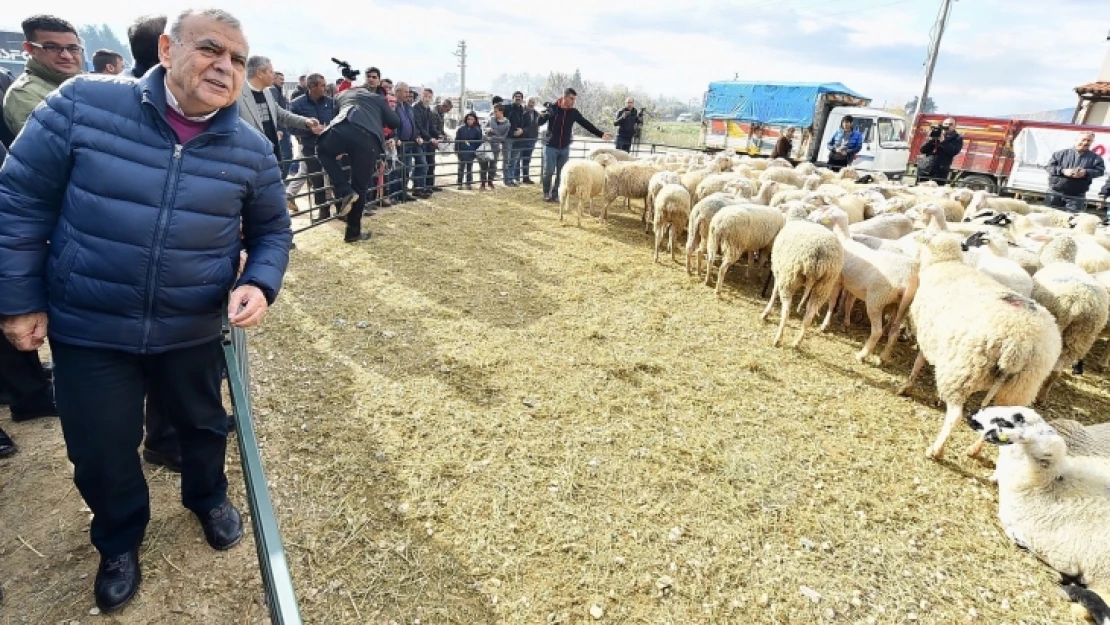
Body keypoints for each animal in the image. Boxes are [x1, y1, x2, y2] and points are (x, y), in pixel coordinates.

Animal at [759, 207, 843, 350]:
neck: (797, 218)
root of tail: (818, 255)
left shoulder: (779, 271)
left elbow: (774, 292)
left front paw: (766, 312)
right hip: (824, 285)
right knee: (809, 315)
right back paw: (797, 342)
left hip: (789, 278)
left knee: (786, 311)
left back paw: (778, 339)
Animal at [816, 206, 919, 361]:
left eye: (825, 210)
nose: (815, 220)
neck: (844, 240)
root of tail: (907, 279)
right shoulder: (854, 286)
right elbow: (849, 304)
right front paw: (846, 324)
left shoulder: (838, 281)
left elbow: (832, 302)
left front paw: (825, 324)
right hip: (902, 305)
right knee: (894, 331)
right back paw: (883, 357)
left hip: (876, 300)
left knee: (877, 331)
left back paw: (862, 355)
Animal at [896, 229, 1061, 459]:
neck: (945, 262)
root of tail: (1021, 344)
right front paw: (935, 396)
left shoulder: (930, 335)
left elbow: (919, 362)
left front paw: (907, 387)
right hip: (1021, 386)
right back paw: (974, 449)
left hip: (964, 369)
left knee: (956, 415)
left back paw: (936, 450)